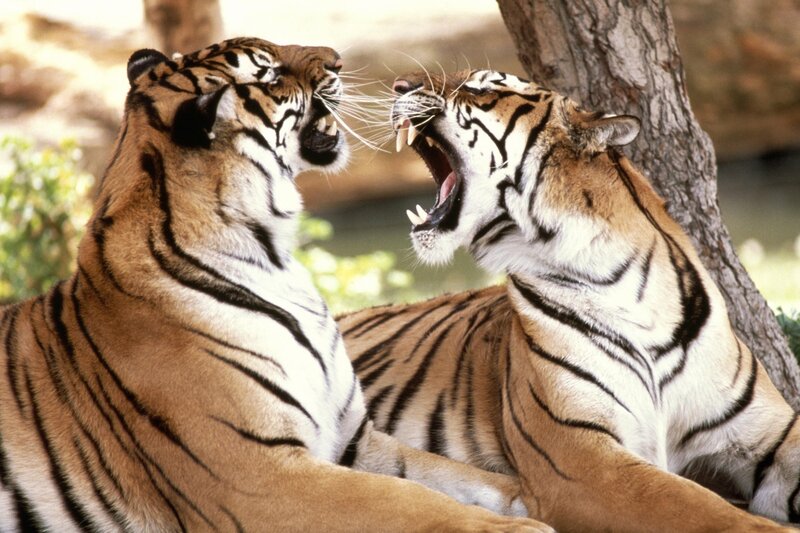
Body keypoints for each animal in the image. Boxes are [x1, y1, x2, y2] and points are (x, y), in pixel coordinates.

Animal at [0, 41, 553, 532]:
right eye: (268, 74)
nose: (338, 59)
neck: (274, 254)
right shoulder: (258, 475)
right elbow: (412, 502)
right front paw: (521, 530)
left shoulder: (356, 440)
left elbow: (464, 479)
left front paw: (532, 500)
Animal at [340, 68, 800, 532]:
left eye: (480, 87)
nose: (399, 86)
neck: (619, 281)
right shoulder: (582, 456)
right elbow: (703, 507)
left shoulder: (770, 432)